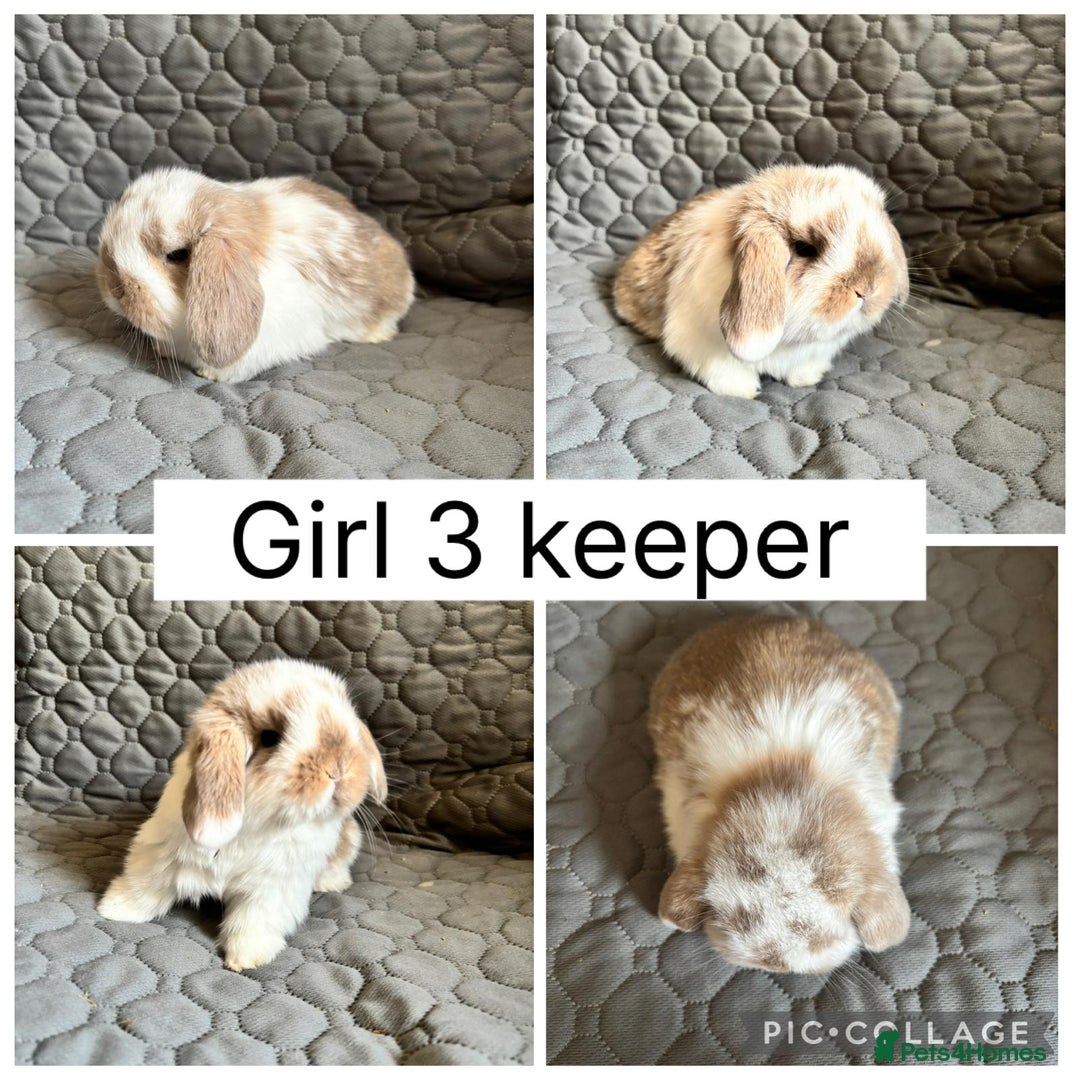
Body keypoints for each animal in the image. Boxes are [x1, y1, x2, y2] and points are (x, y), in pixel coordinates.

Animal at [97, 659, 387, 971]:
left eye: (350, 724)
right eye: (270, 737)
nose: (338, 770)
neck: (257, 821)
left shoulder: (274, 887)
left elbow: (254, 921)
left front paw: (248, 959)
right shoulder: (159, 855)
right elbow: (144, 887)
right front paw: (114, 909)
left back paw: (332, 883)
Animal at [613, 164, 909, 399]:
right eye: (805, 249)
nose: (868, 289)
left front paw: (808, 378)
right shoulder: (700, 342)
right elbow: (723, 370)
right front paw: (743, 391)